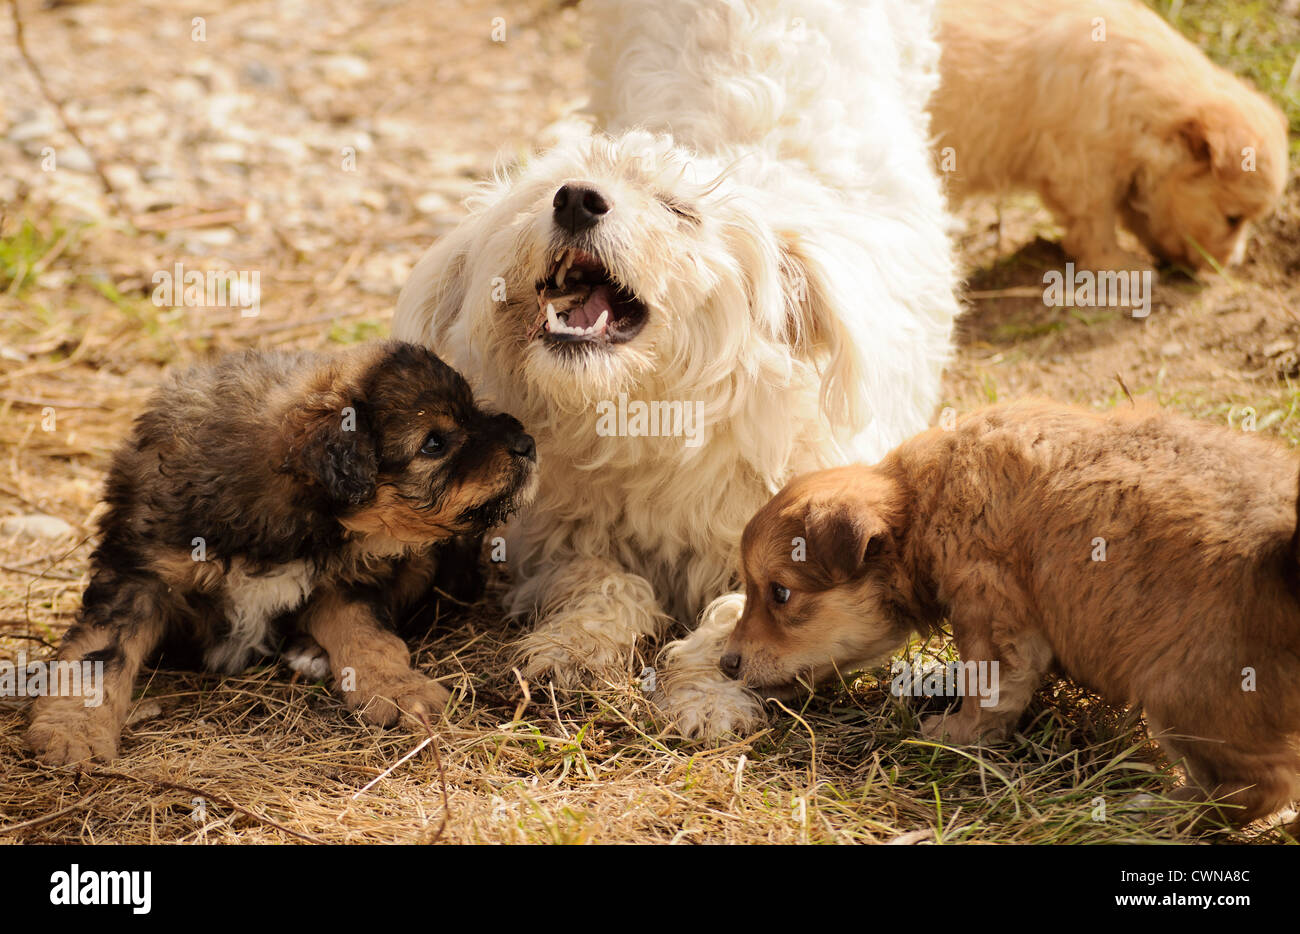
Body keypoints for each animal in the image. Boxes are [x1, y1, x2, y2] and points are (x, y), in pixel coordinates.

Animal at [30, 343, 538, 770]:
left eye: (473, 409)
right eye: (434, 442)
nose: (528, 443)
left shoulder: (347, 580)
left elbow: (370, 635)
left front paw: (397, 688)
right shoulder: (138, 574)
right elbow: (99, 654)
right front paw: (73, 729)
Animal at [390, 0, 961, 738]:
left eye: (679, 210)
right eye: (547, 192)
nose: (576, 199)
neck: (649, 414)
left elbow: (735, 618)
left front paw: (705, 696)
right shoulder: (555, 540)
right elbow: (605, 581)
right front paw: (573, 647)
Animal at [728, 400, 1300, 827]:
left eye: (779, 594)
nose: (725, 664)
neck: (921, 501)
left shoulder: (991, 609)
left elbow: (990, 691)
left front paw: (953, 734)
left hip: (1185, 690)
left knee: (1258, 787)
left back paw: (1157, 812)